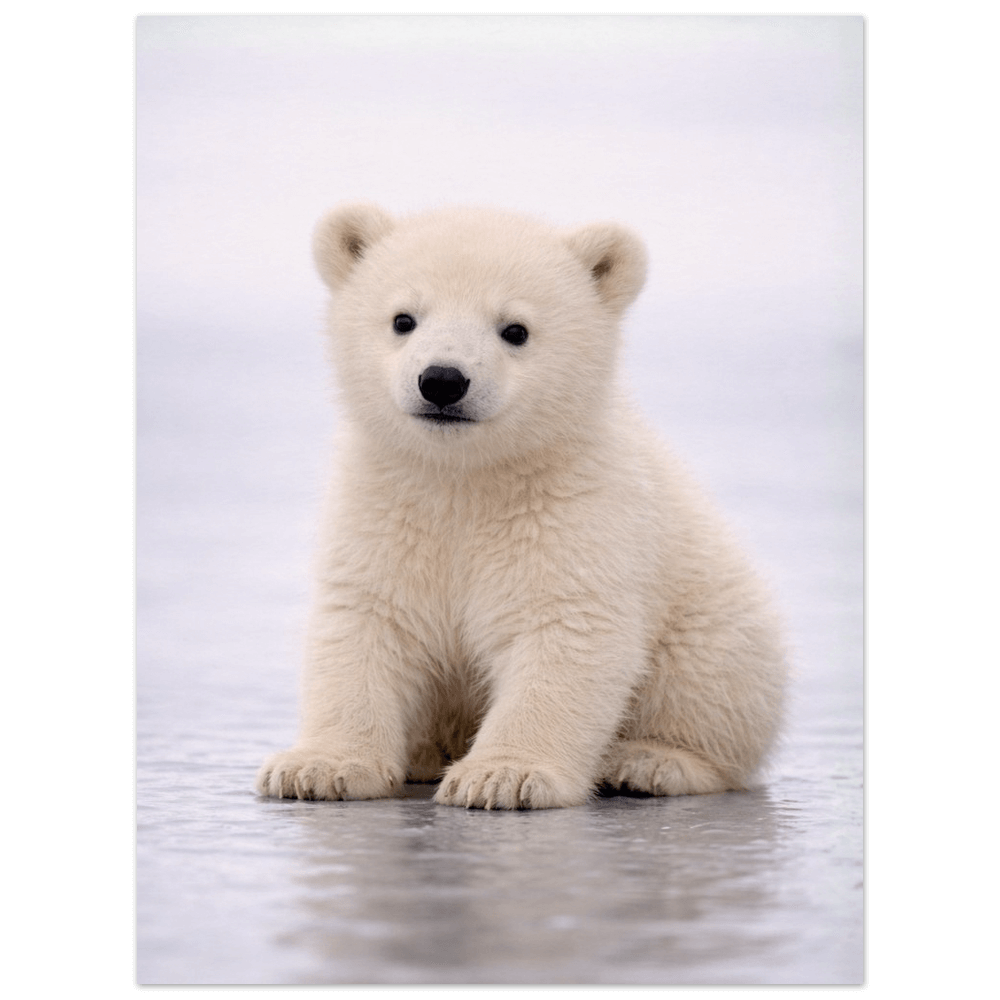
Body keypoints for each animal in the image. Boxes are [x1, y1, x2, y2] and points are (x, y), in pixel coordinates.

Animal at [256, 204, 786, 810]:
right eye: (403, 319)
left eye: (515, 330)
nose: (442, 380)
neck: (465, 477)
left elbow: (563, 629)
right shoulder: (386, 507)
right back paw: (423, 754)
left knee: (707, 689)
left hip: (711, 618)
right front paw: (316, 768)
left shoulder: (574, 511)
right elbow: (366, 623)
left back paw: (648, 762)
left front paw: (502, 776)